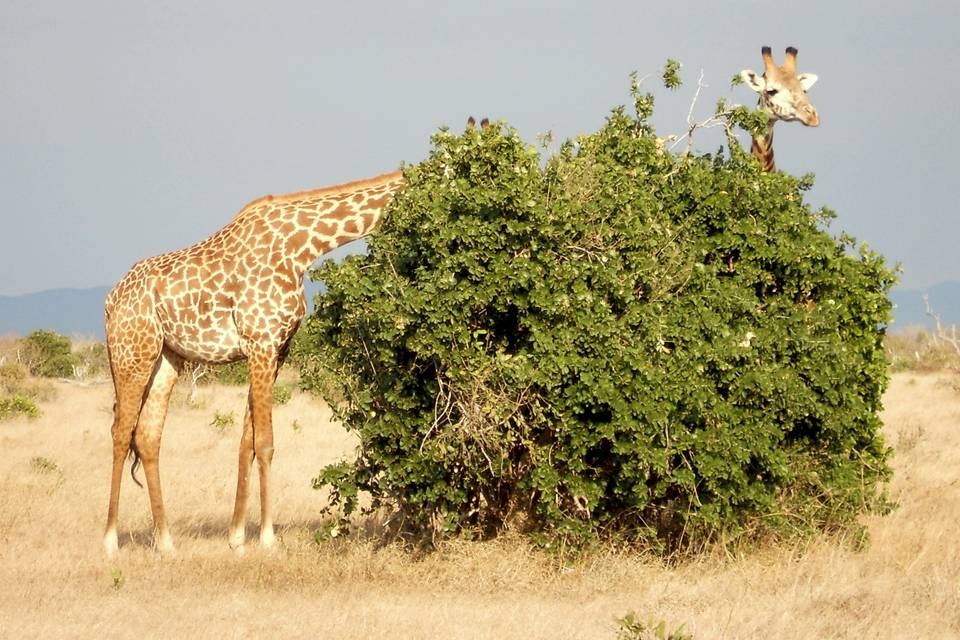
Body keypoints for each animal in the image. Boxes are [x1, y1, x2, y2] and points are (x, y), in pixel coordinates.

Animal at [102, 169, 404, 556]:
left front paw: (236, 537)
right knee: (121, 432)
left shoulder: (276, 349)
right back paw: (111, 540)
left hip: (167, 358)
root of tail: (110, 301)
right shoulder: (262, 341)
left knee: (148, 436)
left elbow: (247, 442)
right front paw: (267, 538)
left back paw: (166, 541)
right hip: (132, 353)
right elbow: (266, 443)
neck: (301, 248)